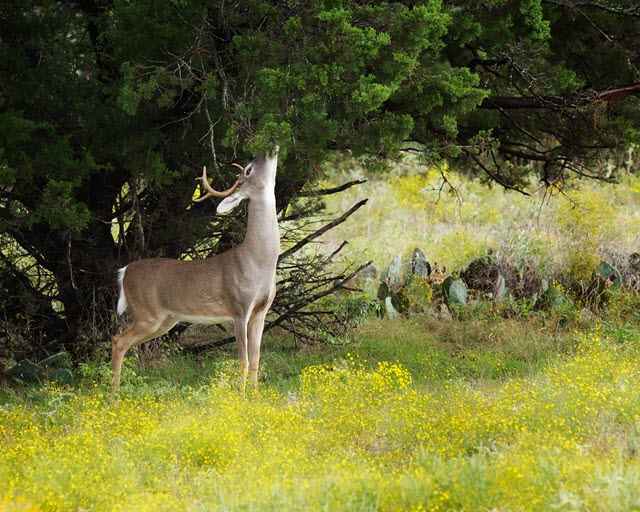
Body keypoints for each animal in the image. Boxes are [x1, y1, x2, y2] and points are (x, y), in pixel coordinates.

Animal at [110, 148, 280, 396]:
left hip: (165, 320)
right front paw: (242, 397)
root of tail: (125, 271)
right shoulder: (239, 307)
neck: (257, 261)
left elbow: (257, 360)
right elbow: (243, 361)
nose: (268, 150)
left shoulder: (261, 312)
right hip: (146, 314)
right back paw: (112, 396)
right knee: (118, 340)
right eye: (248, 169)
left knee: (121, 341)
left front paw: (256, 397)